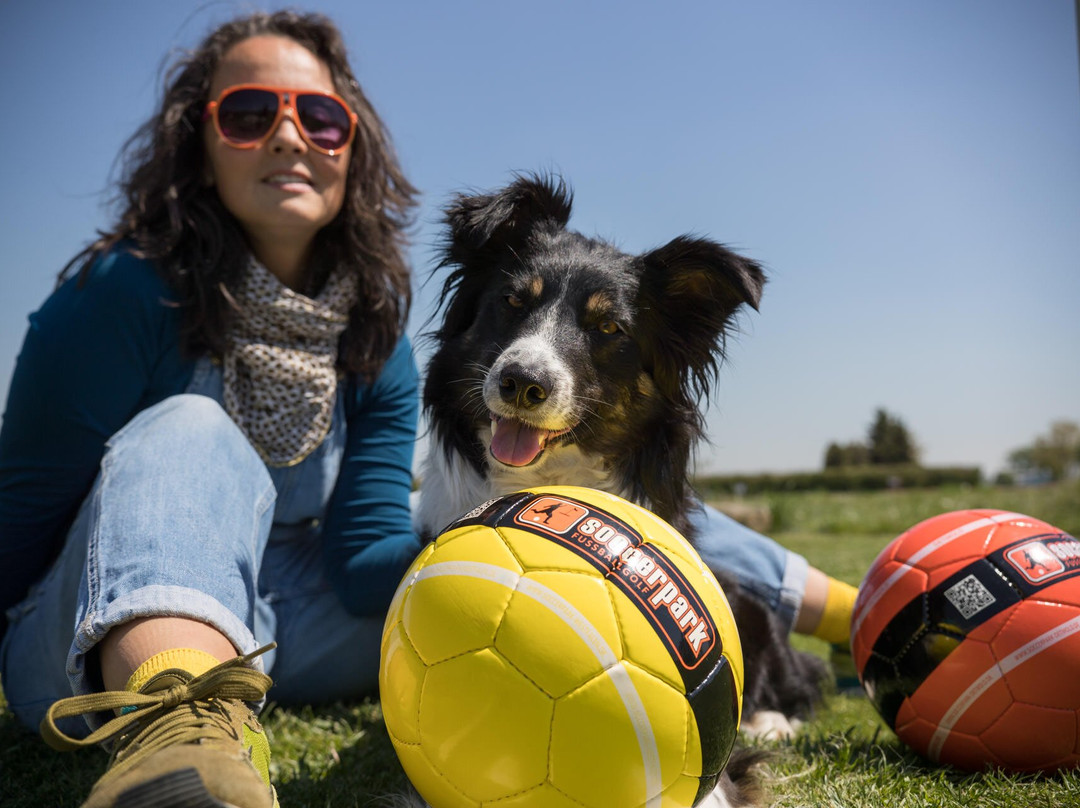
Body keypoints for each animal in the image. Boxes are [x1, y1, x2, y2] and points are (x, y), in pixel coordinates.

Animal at [412, 174, 825, 803]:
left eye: (608, 328)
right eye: (513, 302)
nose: (521, 382)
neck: (549, 476)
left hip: (746, 601)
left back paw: (774, 719)